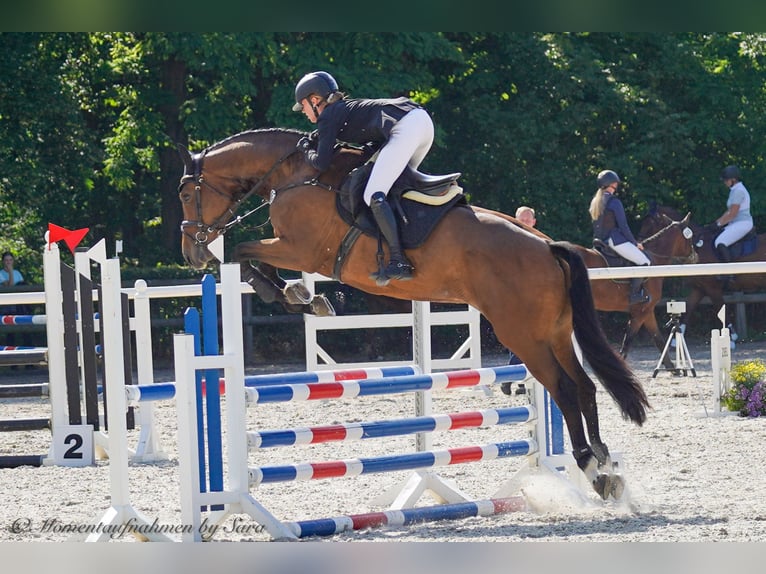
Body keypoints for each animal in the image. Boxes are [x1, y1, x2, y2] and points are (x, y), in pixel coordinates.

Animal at [177, 128, 652, 502]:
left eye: (184, 194)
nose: (192, 253)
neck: (295, 175)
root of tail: (548, 246)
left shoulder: (300, 249)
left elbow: (243, 254)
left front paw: (295, 295)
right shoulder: (292, 250)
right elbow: (252, 259)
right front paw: (304, 297)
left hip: (525, 337)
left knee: (565, 390)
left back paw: (590, 468)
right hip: (553, 333)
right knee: (585, 386)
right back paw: (606, 465)